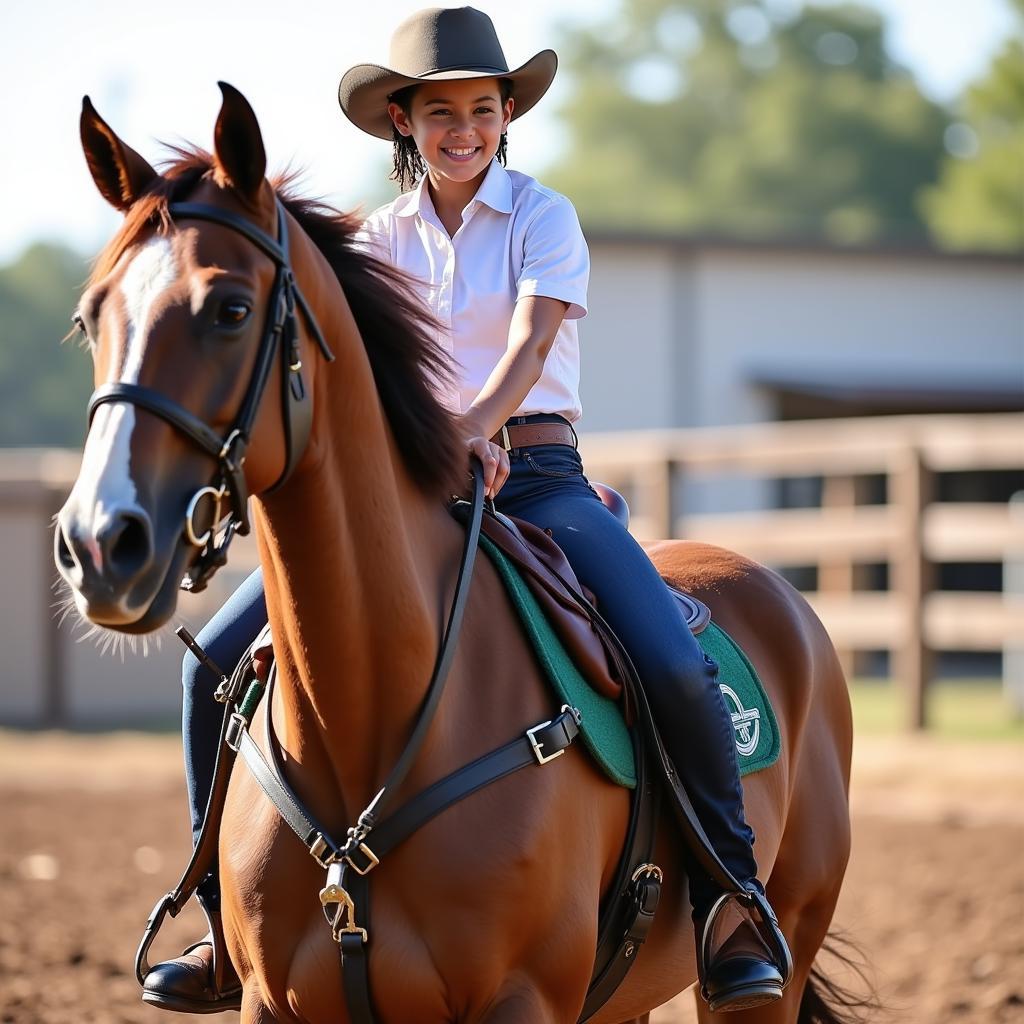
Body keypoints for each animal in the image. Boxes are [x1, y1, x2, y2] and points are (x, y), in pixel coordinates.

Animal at [54, 83, 856, 1019]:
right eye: (91, 316)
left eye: (231, 309)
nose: (101, 542)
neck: (372, 721)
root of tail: (786, 600)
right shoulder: (269, 1000)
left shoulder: (522, 998)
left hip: (776, 960)